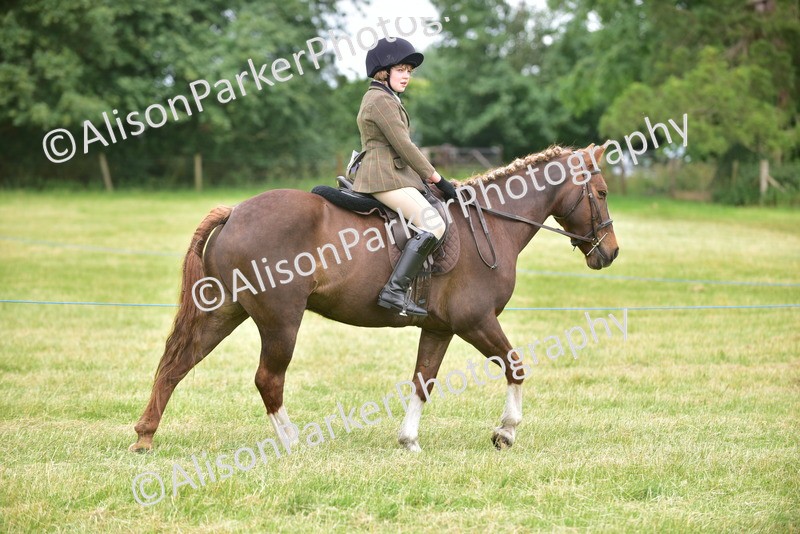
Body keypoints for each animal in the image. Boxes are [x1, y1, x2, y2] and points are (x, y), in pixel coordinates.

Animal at [129, 143, 619, 453]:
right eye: (601, 192)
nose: (610, 253)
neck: (492, 223)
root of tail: (234, 212)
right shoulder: (476, 320)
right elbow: (516, 366)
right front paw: (506, 433)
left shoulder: (440, 328)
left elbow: (423, 381)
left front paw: (408, 440)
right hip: (280, 320)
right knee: (268, 380)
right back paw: (292, 443)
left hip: (223, 311)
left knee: (176, 365)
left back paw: (145, 437)